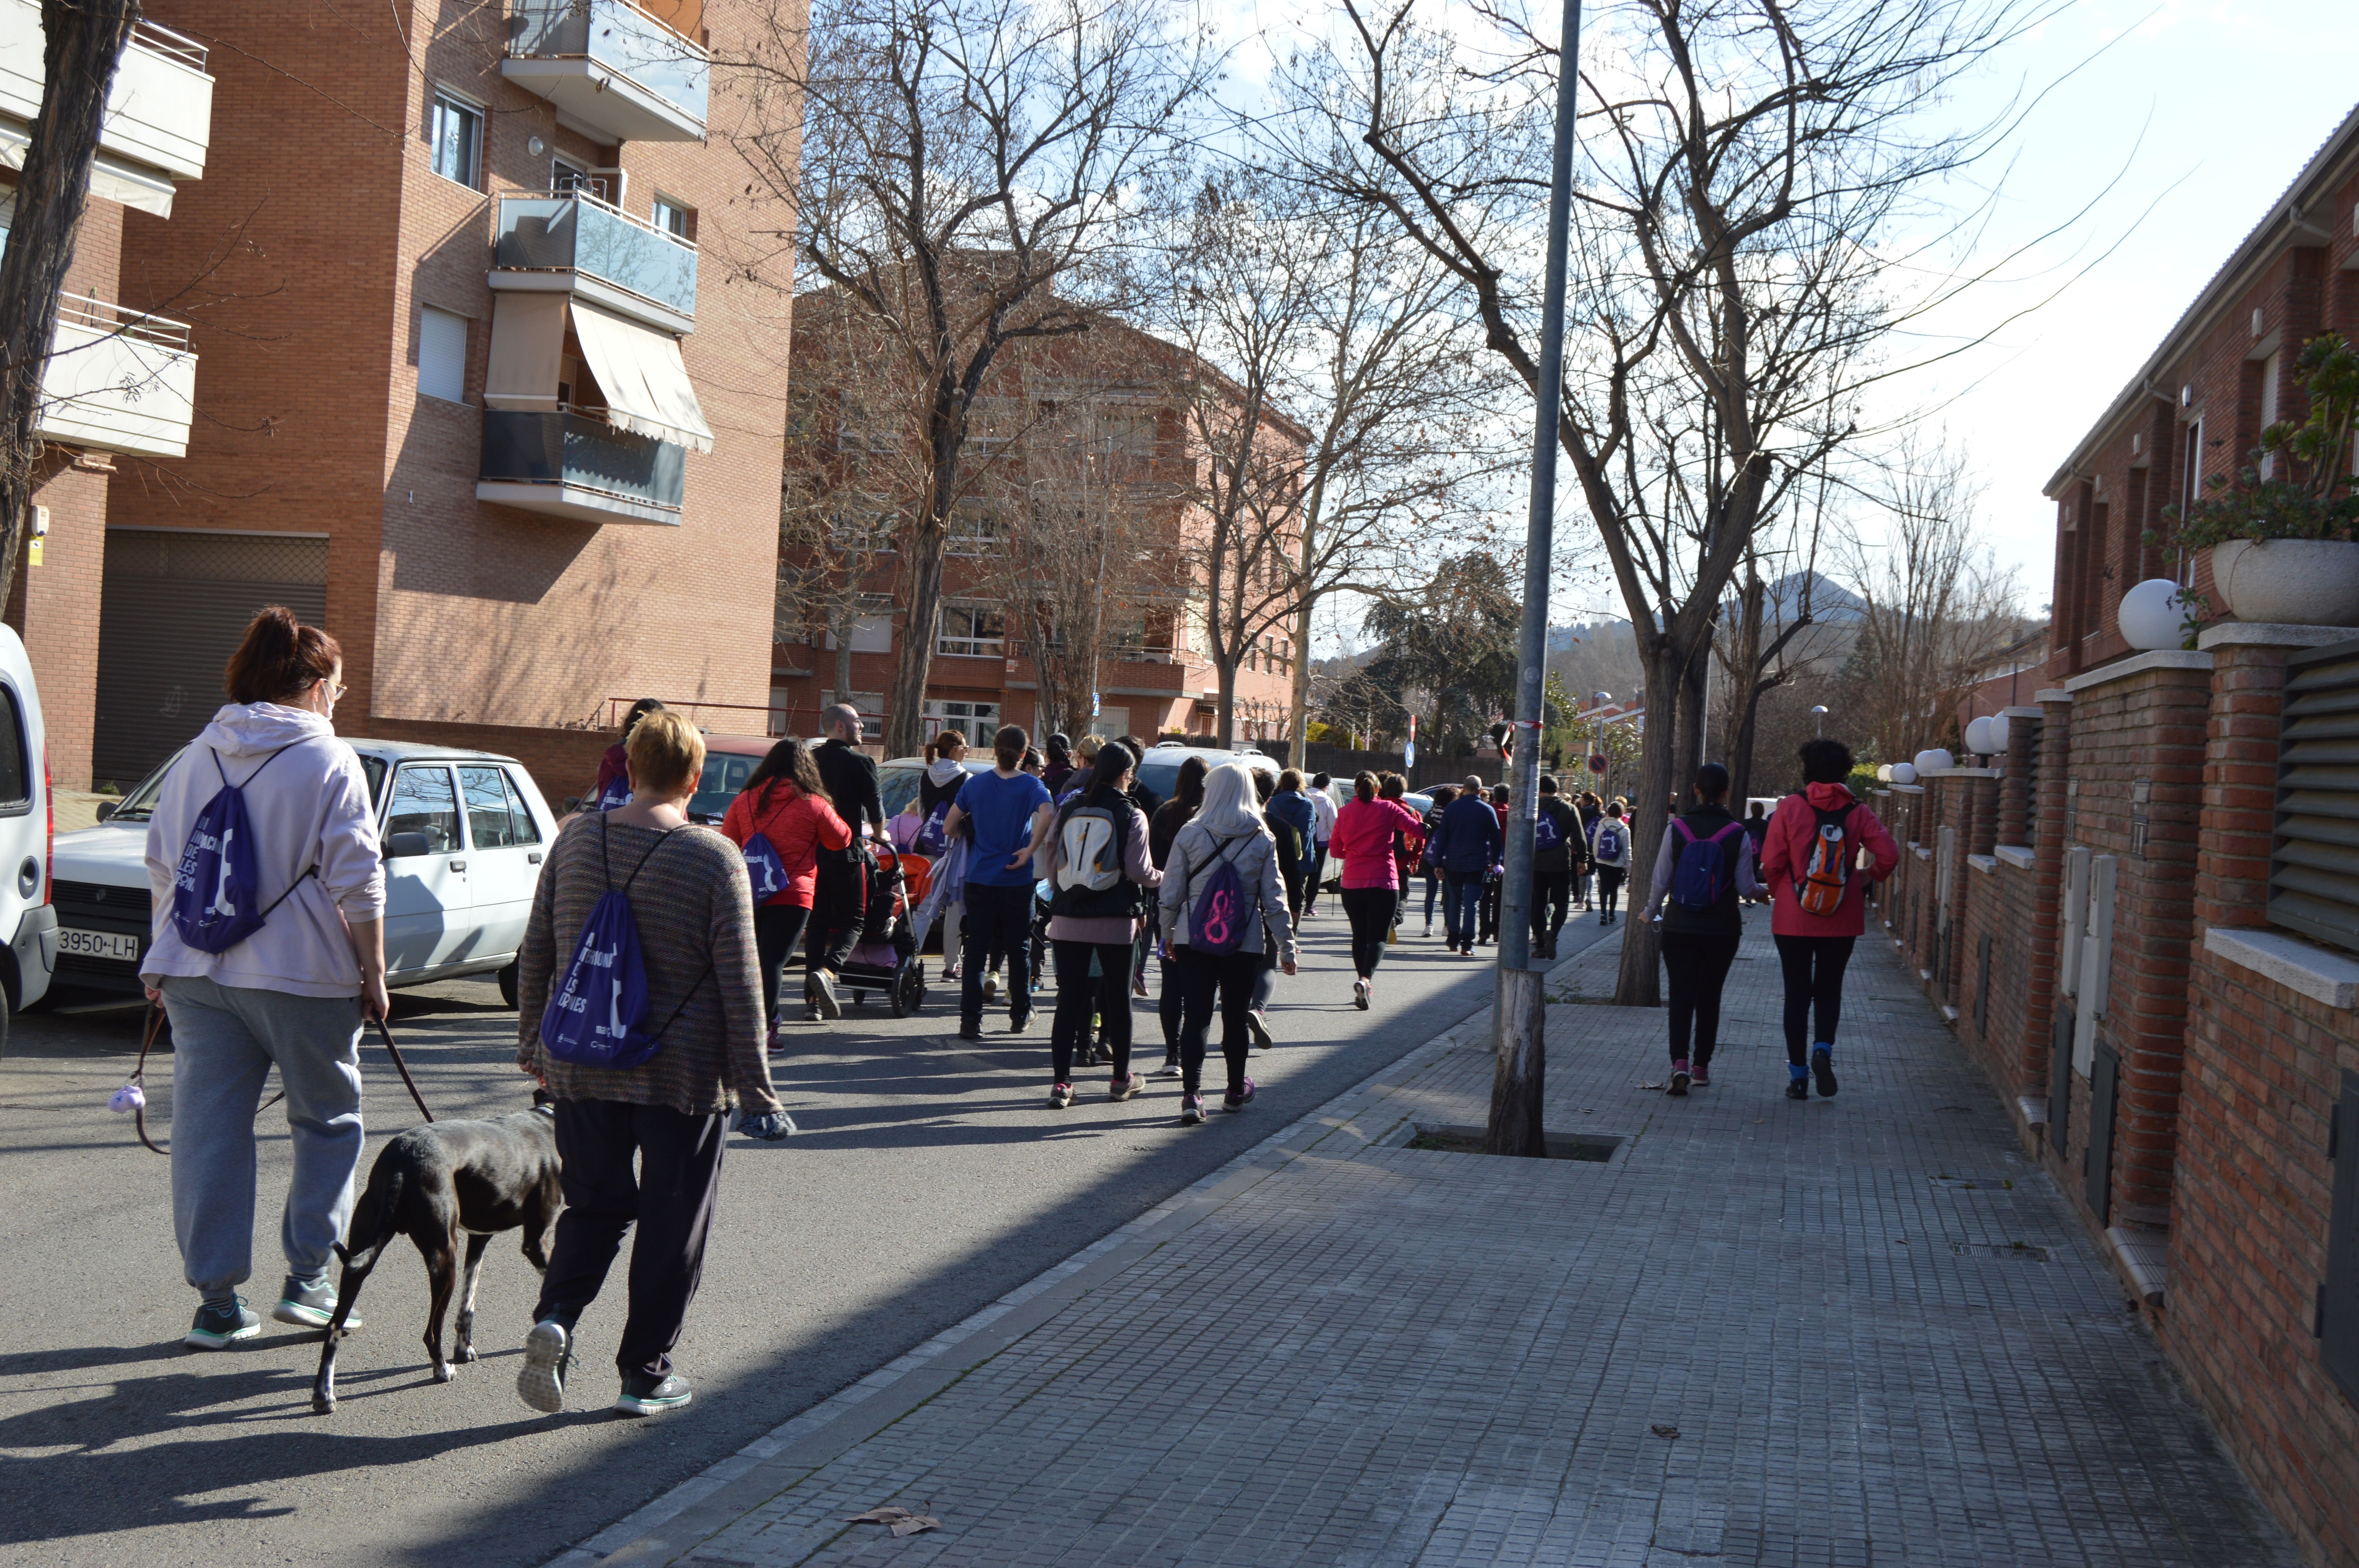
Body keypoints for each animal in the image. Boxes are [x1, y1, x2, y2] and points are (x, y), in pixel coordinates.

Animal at [311, 1094, 563, 1415]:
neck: (549, 1119)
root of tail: (401, 1161)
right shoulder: (536, 1244)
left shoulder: (479, 1237)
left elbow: (468, 1304)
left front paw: (465, 1348)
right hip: (444, 1258)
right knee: (431, 1333)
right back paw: (442, 1371)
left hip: (361, 1257)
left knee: (333, 1326)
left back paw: (324, 1394)